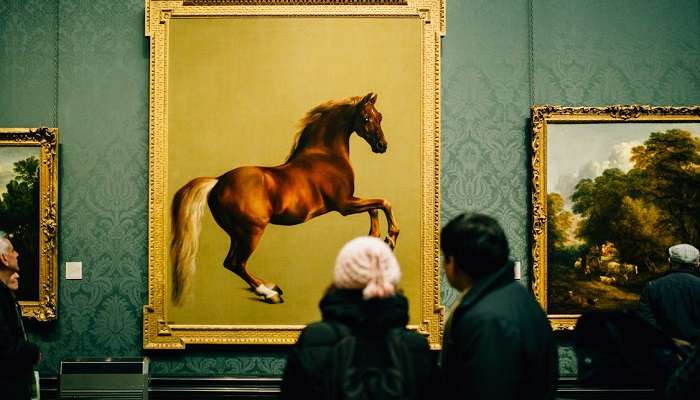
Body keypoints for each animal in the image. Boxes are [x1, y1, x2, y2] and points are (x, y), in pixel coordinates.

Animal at [170, 94, 400, 304]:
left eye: (380, 116)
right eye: (365, 118)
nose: (382, 145)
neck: (326, 156)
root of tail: (218, 181)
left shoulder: (350, 200)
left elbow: (374, 208)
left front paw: (374, 239)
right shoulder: (344, 204)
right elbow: (383, 202)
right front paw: (390, 238)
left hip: (236, 234)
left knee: (231, 263)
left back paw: (270, 287)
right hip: (251, 232)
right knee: (236, 263)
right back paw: (269, 293)